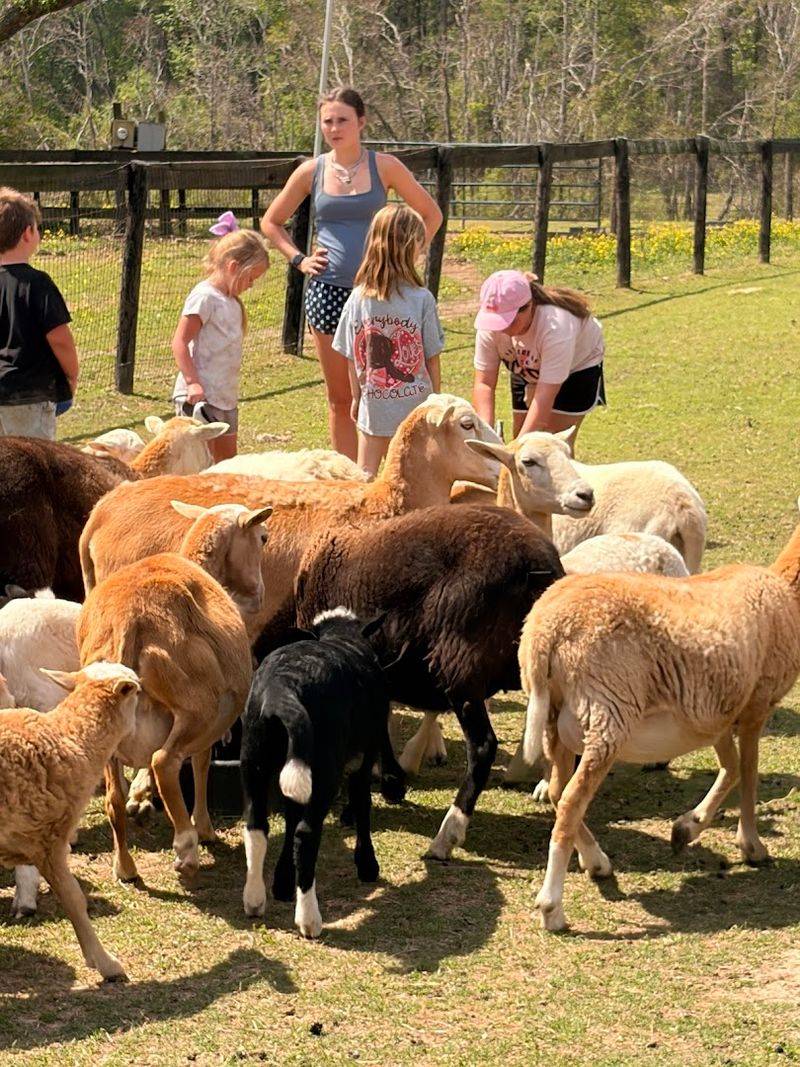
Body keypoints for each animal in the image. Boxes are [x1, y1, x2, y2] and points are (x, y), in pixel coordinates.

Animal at [241, 608, 406, 937]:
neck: (342, 637)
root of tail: (283, 689)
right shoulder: (364, 755)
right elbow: (362, 803)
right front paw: (367, 864)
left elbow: (291, 816)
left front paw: (282, 881)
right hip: (324, 767)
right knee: (306, 835)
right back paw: (309, 920)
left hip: (255, 760)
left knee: (256, 827)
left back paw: (254, 900)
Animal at [519, 502, 800, 933]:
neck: (786, 590)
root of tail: (543, 632)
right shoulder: (758, 703)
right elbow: (750, 774)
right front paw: (752, 846)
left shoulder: (713, 712)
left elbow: (732, 767)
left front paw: (688, 827)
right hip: (607, 715)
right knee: (568, 802)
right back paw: (553, 907)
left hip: (556, 719)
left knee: (556, 791)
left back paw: (596, 861)